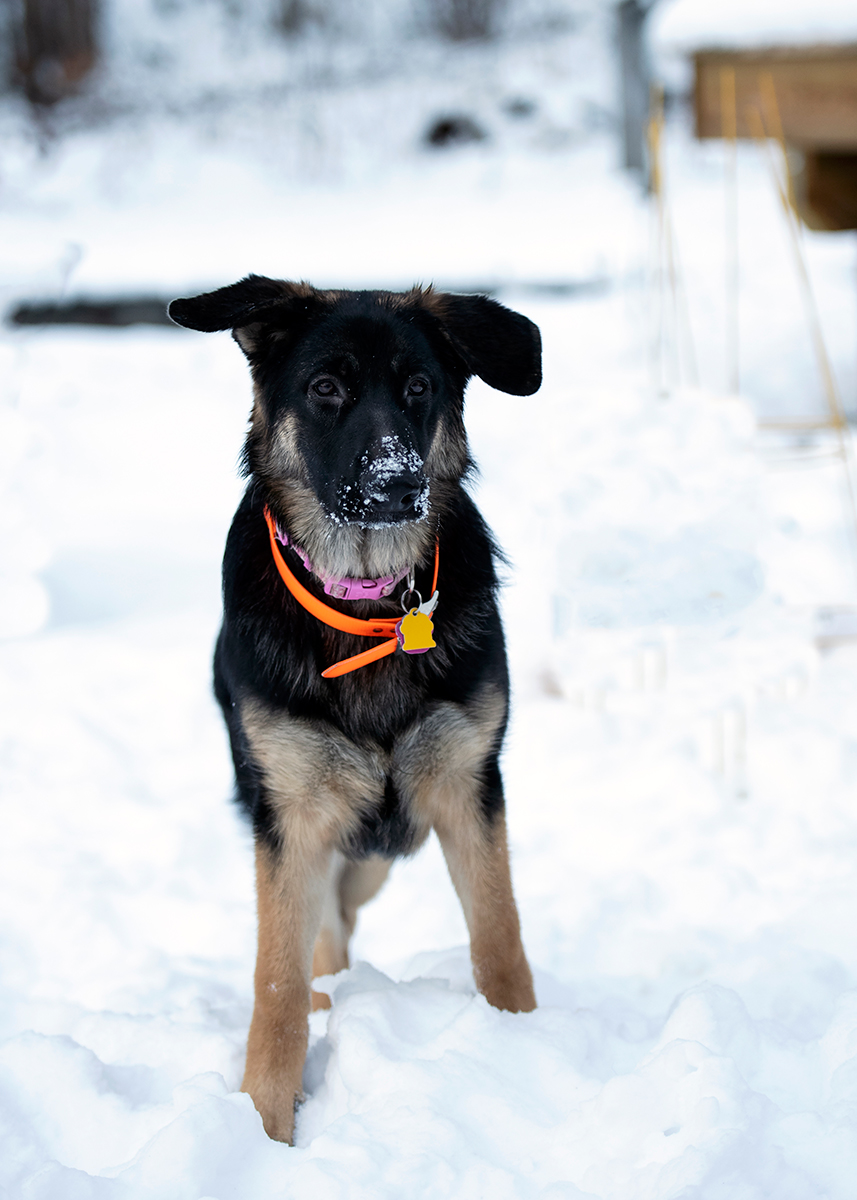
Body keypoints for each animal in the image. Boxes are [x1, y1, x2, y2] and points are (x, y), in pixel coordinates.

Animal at [168, 274, 540, 1142]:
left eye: (418, 389)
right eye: (325, 388)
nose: (395, 484)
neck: (366, 602)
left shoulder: (467, 790)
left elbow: (498, 940)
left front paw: (520, 1043)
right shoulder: (292, 818)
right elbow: (275, 991)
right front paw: (265, 1127)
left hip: (382, 847)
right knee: (321, 940)